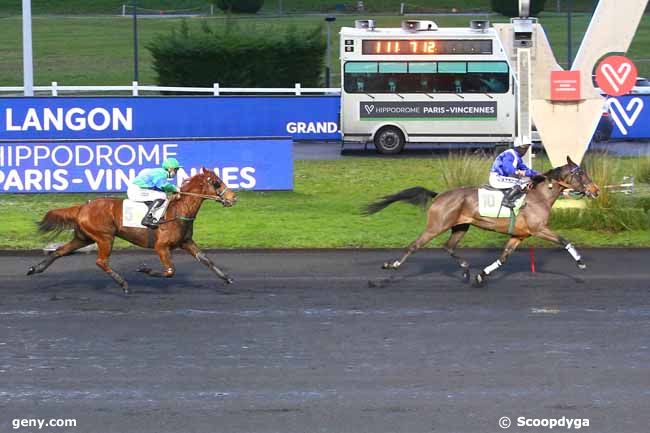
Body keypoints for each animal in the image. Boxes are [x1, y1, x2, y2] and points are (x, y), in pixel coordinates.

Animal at [27, 166, 238, 294]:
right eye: (217, 182)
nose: (233, 198)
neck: (179, 211)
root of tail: (83, 207)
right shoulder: (161, 246)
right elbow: (170, 271)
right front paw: (144, 269)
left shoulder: (186, 242)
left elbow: (206, 260)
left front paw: (228, 279)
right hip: (104, 237)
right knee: (101, 261)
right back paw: (124, 284)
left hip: (84, 237)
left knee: (60, 251)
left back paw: (35, 268)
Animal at [362, 157, 600, 286]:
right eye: (581, 174)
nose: (596, 190)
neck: (539, 195)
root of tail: (439, 195)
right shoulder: (539, 229)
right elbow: (564, 240)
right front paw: (580, 262)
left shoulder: (519, 235)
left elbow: (503, 258)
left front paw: (481, 275)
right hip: (436, 225)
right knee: (414, 245)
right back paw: (391, 265)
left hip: (461, 226)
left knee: (448, 246)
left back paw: (466, 269)